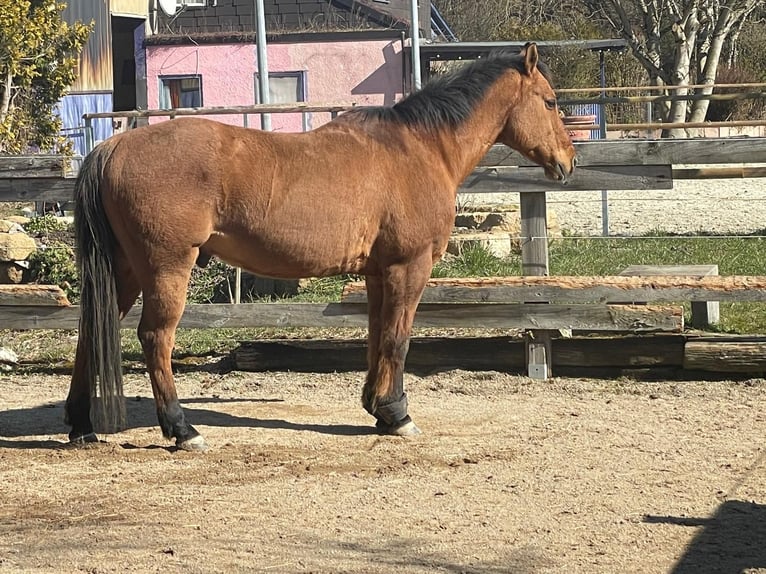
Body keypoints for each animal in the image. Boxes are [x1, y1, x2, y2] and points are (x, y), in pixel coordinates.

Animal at [67, 42, 576, 452]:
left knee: (91, 329)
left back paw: (81, 425)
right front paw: (398, 415)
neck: (418, 148)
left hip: (125, 270)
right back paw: (182, 429)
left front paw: (377, 408)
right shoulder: (409, 266)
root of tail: (111, 148)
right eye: (550, 101)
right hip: (166, 266)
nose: (568, 161)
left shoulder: (378, 272)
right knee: (155, 338)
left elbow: (377, 336)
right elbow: (398, 338)